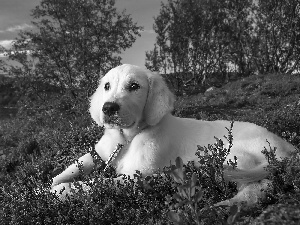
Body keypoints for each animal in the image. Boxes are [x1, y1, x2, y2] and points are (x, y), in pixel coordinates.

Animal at [51, 63, 296, 206]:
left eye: (134, 86)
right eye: (107, 86)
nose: (108, 108)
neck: (127, 138)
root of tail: (289, 148)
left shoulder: (137, 176)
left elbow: (94, 183)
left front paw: (59, 191)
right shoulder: (98, 154)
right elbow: (71, 168)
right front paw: (47, 186)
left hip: (234, 157)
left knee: (259, 187)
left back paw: (226, 207)